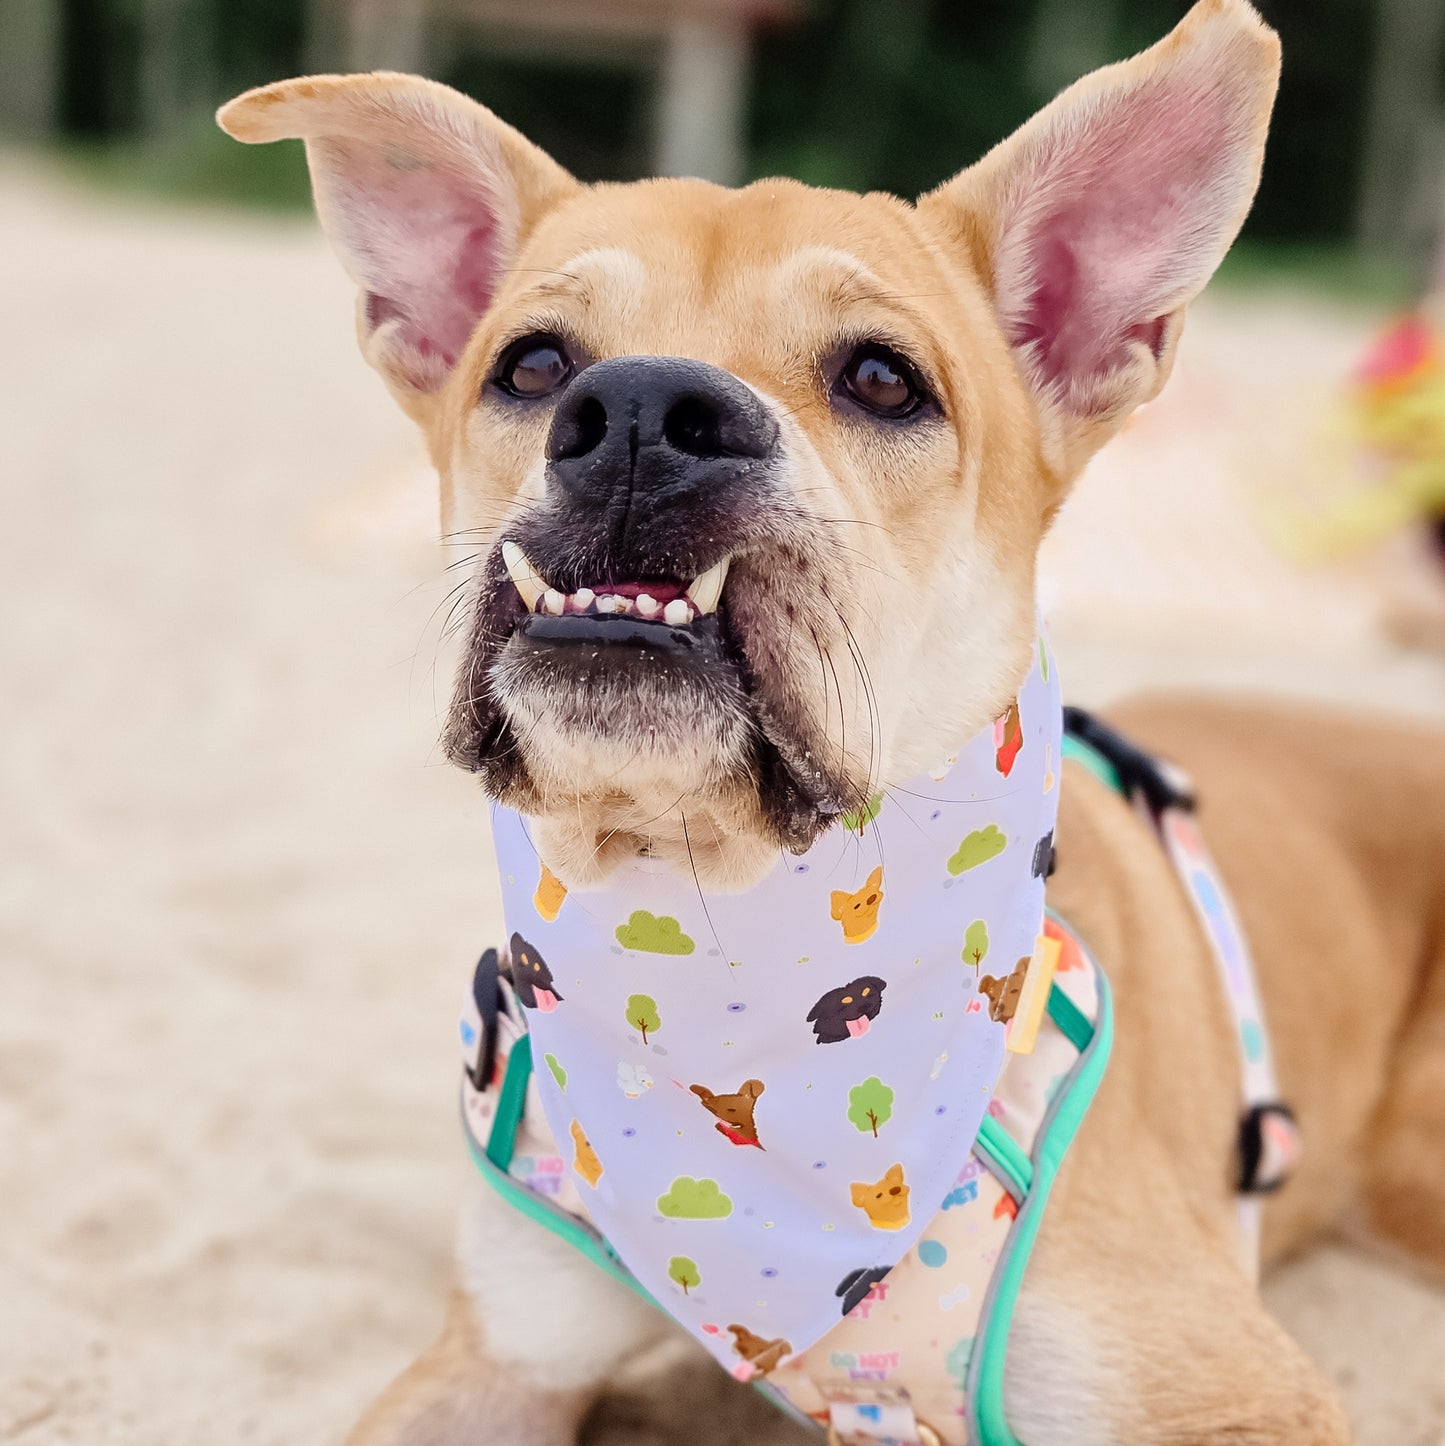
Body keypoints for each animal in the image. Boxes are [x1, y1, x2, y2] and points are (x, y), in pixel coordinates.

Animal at [214, 5, 1445, 1440]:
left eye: (881, 379)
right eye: (532, 364)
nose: (640, 416)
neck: (716, 918)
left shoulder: (1228, 1395)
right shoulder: (495, 1361)